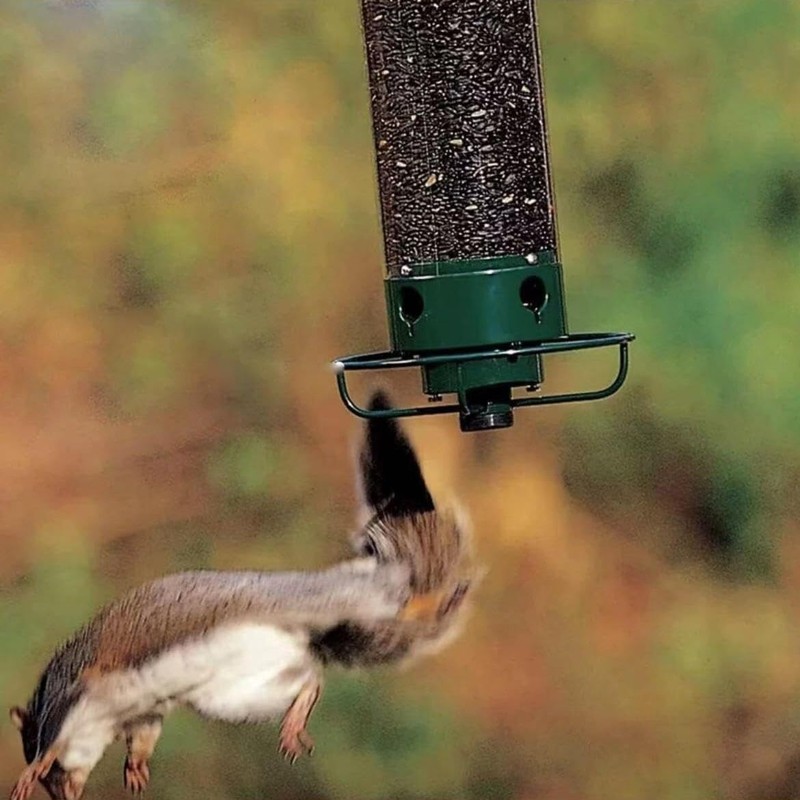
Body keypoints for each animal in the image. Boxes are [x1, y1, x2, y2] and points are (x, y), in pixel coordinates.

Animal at [9, 391, 477, 800]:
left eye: (53, 775)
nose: (65, 795)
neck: (106, 717)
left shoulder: (77, 691)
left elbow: (54, 738)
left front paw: (33, 770)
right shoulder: (144, 714)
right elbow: (143, 738)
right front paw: (136, 769)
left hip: (316, 616)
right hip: (239, 692)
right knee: (310, 677)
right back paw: (295, 719)